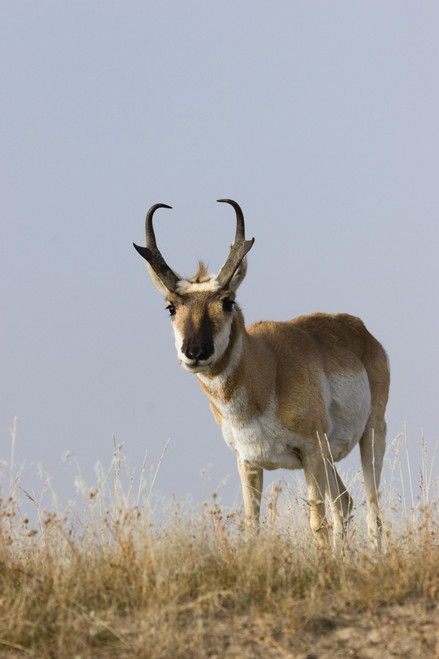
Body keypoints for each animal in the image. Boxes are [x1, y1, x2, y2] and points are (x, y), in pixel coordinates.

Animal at [134, 200, 390, 546]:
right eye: (170, 306)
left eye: (227, 301)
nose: (195, 353)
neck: (266, 371)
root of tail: (359, 329)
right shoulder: (249, 462)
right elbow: (252, 525)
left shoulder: (310, 451)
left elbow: (317, 523)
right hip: (330, 460)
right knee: (345, 503)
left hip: (371, 435)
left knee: (371, 513)